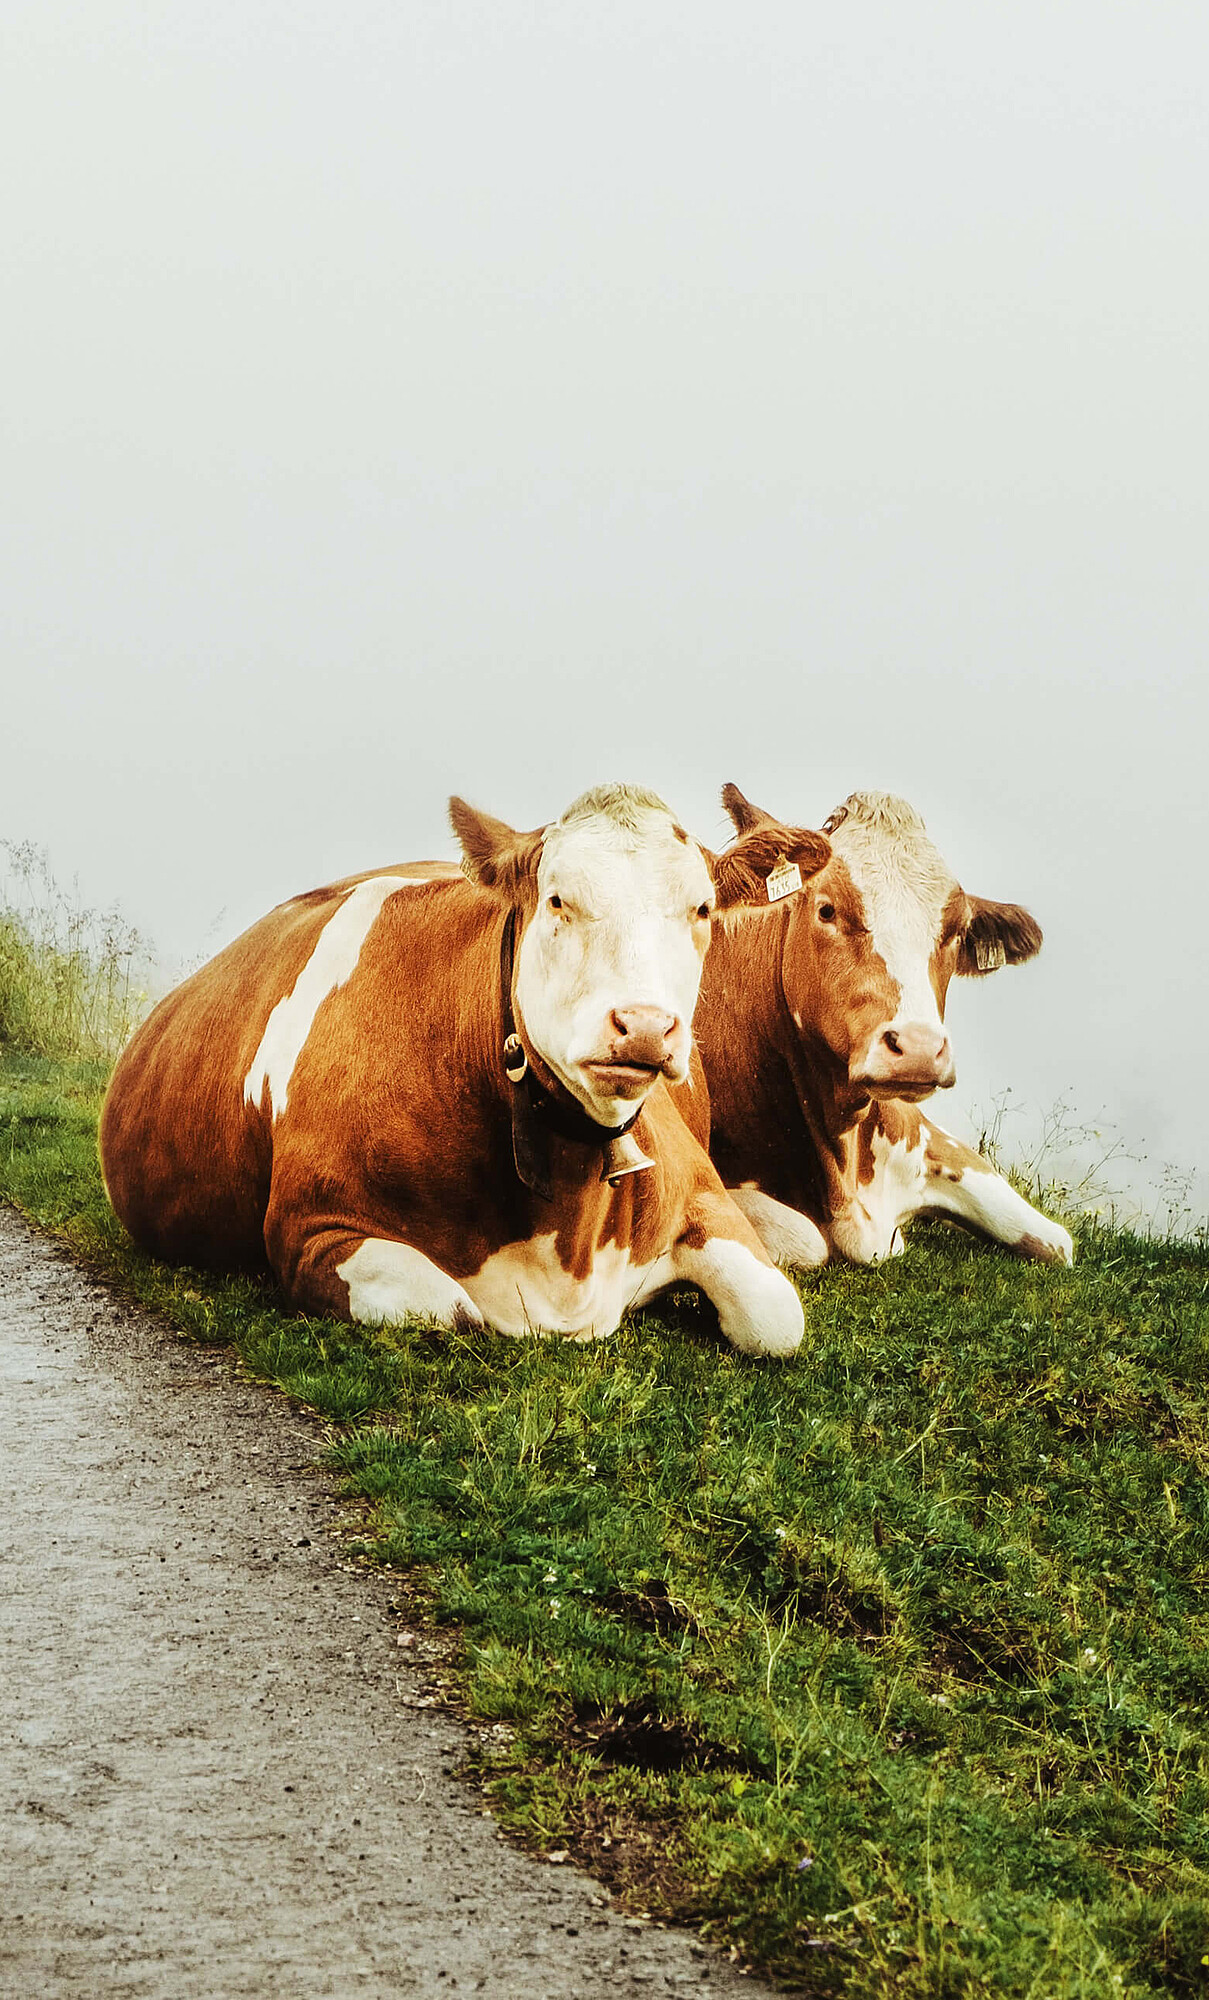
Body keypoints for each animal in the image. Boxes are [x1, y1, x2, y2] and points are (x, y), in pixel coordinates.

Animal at [99, 784, 833, 1357]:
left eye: (702, 909)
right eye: (557, 900)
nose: (646, 1026)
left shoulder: (696, 1189)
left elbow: (777, 1319)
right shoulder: (309, 1230)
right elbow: (459, 1311)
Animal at [693, 785, 1074, 1270]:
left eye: (957, 930)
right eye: (827, 910)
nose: (918, 1048)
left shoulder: (923, 1132)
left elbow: (1057, 1242)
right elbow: (803, 1238)